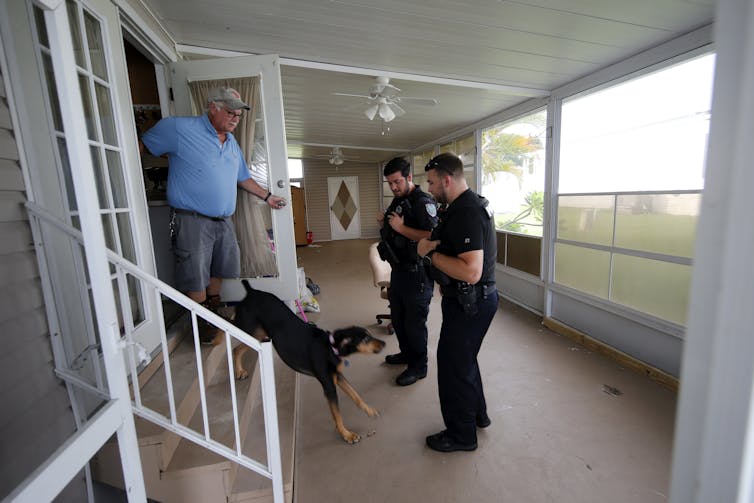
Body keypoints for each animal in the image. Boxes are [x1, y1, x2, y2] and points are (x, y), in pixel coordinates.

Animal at [232, 280, 384, 444]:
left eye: (370, 335)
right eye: (366, 339)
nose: (384, 344)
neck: (330, 347)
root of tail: (251, 291)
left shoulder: (337, 376)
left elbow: (355, 395)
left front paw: (368, 410)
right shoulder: (329, 385)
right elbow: (337, 414)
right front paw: (346, 434)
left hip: (259, 335)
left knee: (237, 350)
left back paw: (240, 371)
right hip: (247, 330)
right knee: (232, 347)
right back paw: (237, 369)